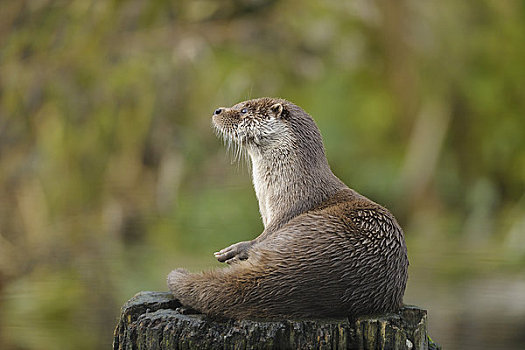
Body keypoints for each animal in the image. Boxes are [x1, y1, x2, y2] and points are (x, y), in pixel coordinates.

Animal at [166, 96, 408, 320]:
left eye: (244, 110)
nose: (218, 110)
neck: (294, 183)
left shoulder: (289, 211)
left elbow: (260, 238)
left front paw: (234, 249)